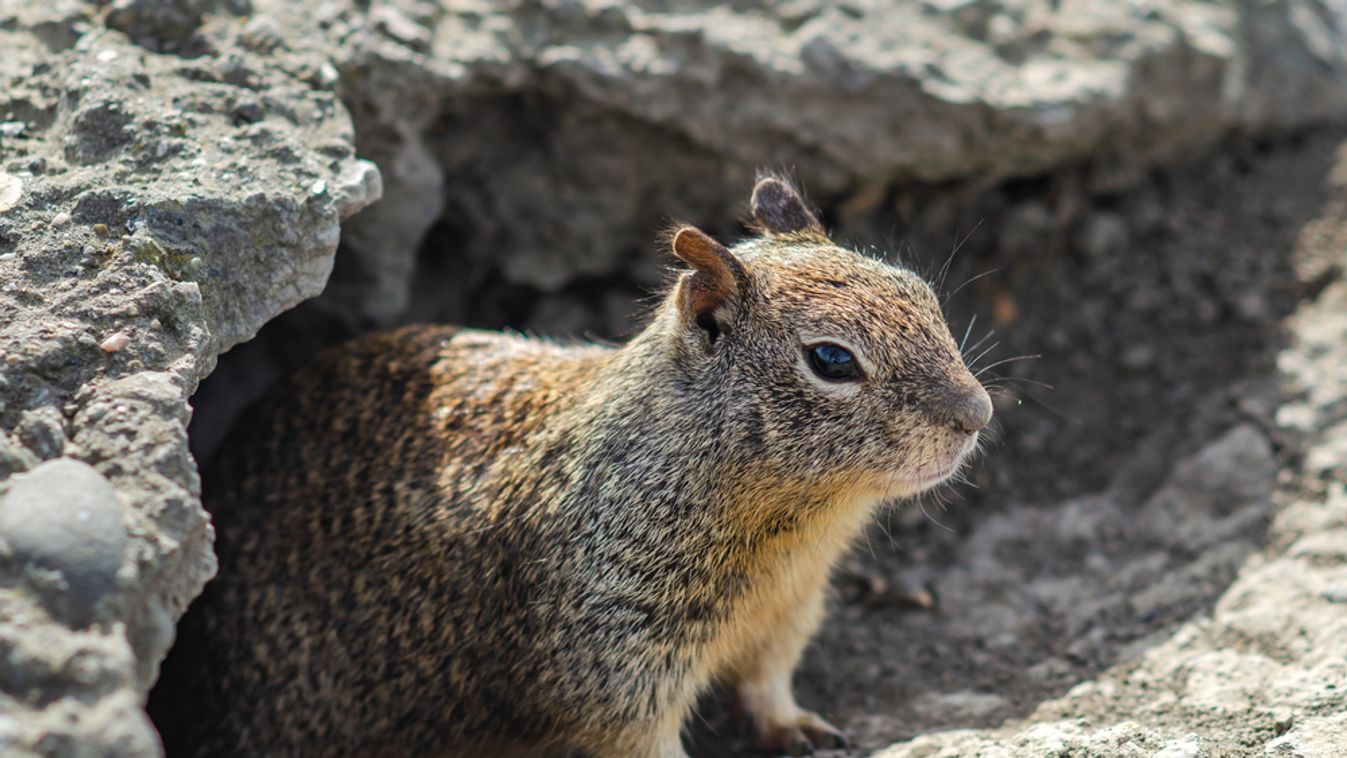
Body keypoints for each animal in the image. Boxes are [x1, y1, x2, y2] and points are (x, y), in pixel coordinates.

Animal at [150, 179, 991, 758]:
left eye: (920, 292)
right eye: (830, 360)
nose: (977, 413)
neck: (789, 531)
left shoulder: (787, 613)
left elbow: (767, 683)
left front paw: (798, 728)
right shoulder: (608, 663)